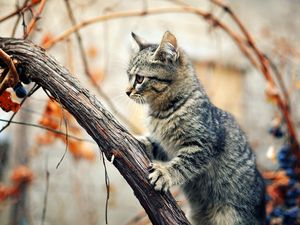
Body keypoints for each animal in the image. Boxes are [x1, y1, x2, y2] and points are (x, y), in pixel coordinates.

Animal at [126, 30, 264, 225]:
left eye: (139, 79)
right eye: (128, 76)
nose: (127, 91)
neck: (162, 111)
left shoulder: (202, 144)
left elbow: (183, 164)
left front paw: (165, 174)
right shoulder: (166, 145)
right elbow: (154, 144)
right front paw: (139, 140)